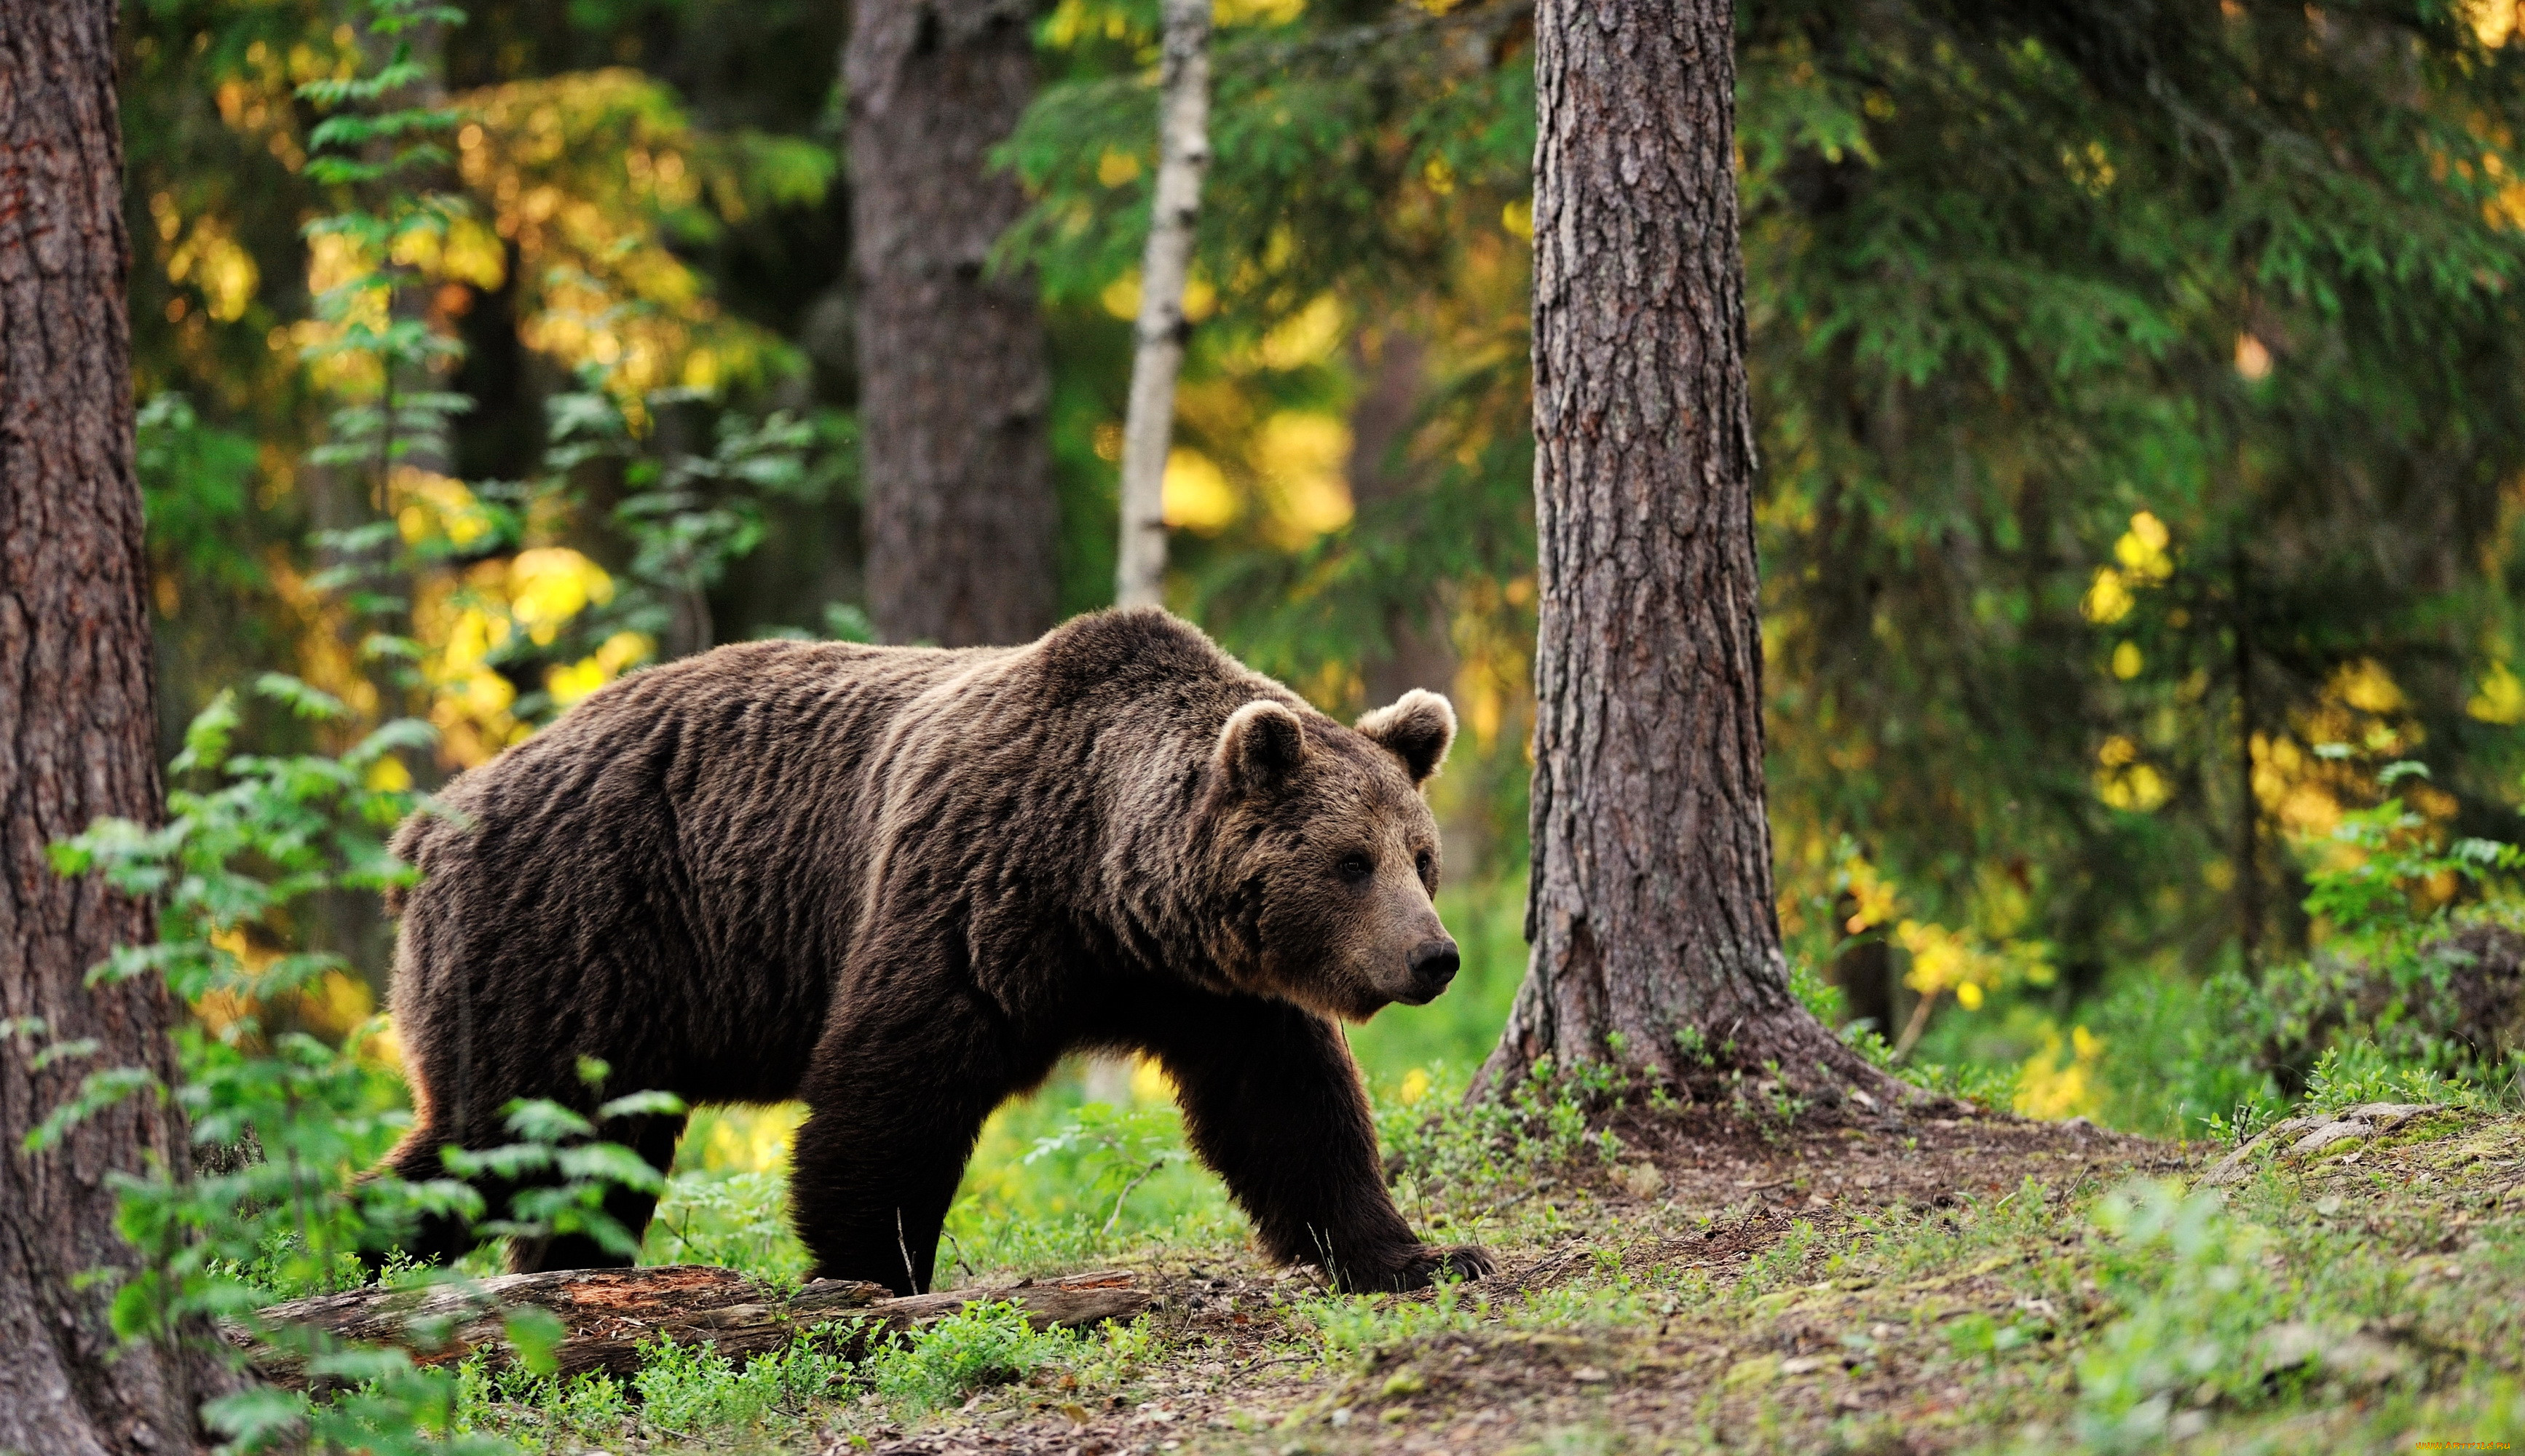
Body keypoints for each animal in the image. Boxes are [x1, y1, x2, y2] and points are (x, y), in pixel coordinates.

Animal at [376, 608, 1495, 1286]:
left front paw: (1420, 1254)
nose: (1433, 957)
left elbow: (1290, 1113)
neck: (1107, 886)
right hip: (573, 937)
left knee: (584, 1159)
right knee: (500, 1132)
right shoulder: (972, 891)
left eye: (1421, 857)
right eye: (1351, 861)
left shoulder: (1213, 987)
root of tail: (434, 819)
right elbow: (892, 1087)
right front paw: (871, 1270)